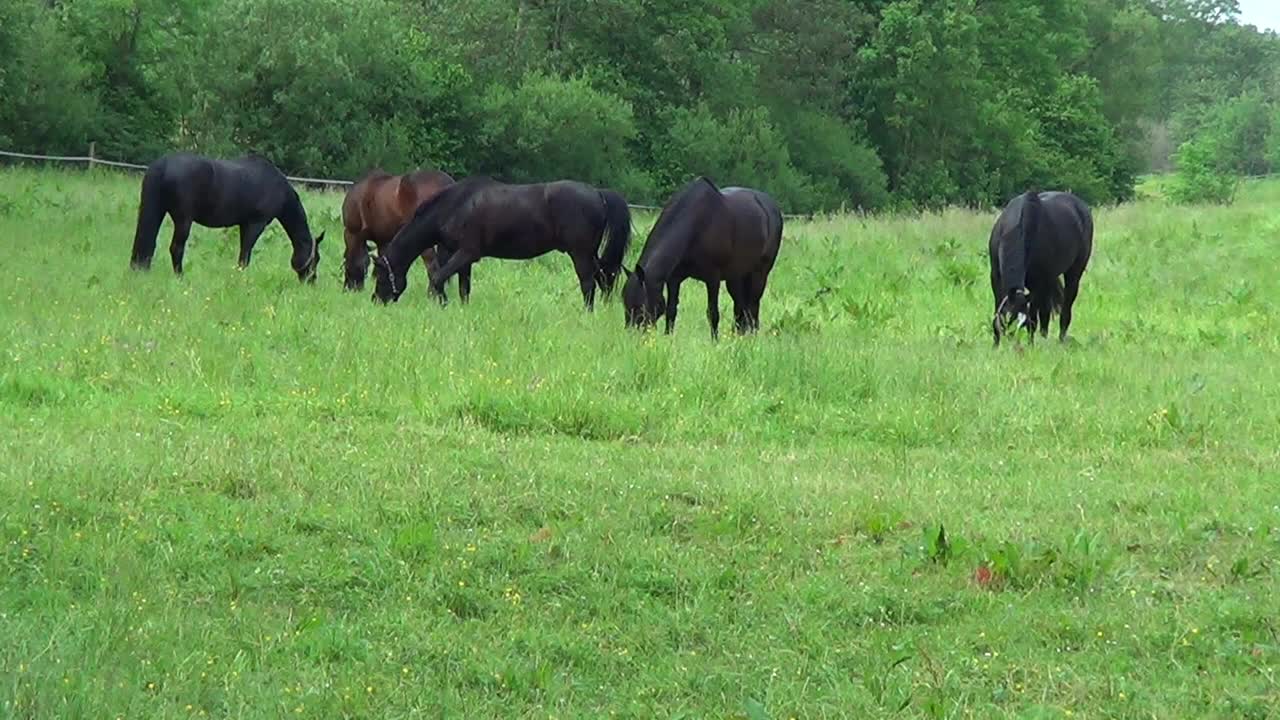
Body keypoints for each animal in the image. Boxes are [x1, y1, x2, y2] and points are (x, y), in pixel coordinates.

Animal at [128, 151, 325, 280]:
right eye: (316, 258)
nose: (311, 280)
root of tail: (162, 166)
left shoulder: (244, 224)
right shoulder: (255, 224)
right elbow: (245, 254)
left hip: (157, 212)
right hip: (183, 220)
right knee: (176, 248)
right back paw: (180, 277)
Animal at [368, 176, 632, 308]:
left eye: (380, 275)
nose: (376, 301)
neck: (455, 207)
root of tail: (598, 193)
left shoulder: (467, 253)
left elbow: (437, 279)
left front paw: (439, 302)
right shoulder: (463, 260)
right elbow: (463, 288)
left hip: (580, 253)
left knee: (589, 283)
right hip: (590, 253)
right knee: (604, 278)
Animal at [616, 176, 778, 338]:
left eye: (640, 305)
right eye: (625, 302)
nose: (631, 335)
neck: (697, 224)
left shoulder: (713, 279)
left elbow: (713, 313)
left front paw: (715, 341)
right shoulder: (674, 279)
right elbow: (671, 310)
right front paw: (668, 336)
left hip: (759, 274)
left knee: (753, 306)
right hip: (736, 277)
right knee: (740, 307)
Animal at [983, 188, 1095, 345]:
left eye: (1022, 324)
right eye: (1008, 319)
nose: (1012, 343)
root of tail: (1081, 207)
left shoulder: (1038, 284)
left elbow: (1034, 320)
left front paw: (1031, 345)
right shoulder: (995, 277)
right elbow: (997, 314)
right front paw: (996, 344)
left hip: (1072, 274)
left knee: (1063, 309)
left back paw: (1060, 339)